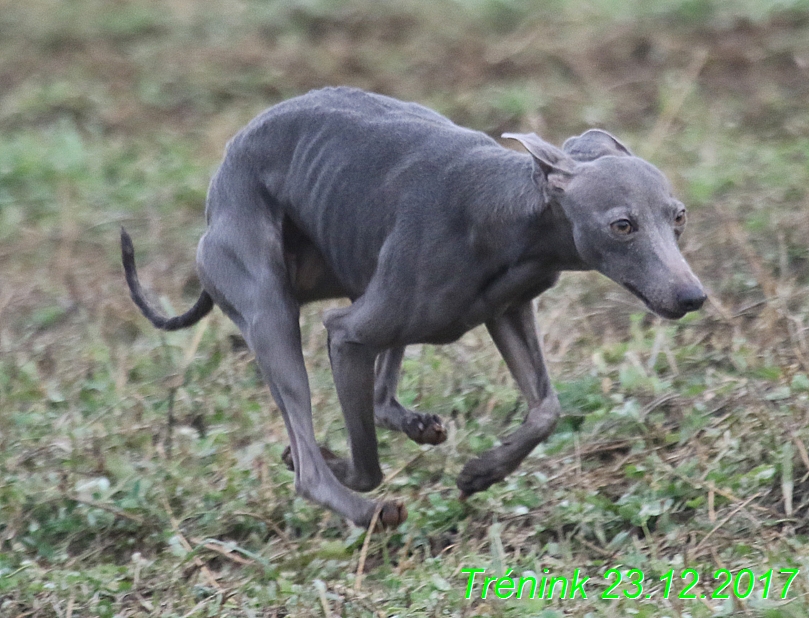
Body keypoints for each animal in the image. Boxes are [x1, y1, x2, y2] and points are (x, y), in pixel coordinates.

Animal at [121, 86, 708, 528]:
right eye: (622, 225)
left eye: (678, 216)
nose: (693, 297)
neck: (511, 214)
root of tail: (222, 176)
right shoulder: (346, 334)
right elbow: (366, 465)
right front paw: (355, 476)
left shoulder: (508, 310)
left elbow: (546, 409)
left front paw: (483, 471)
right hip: (271, 312)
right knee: (309, 464)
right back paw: (354, 499)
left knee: (382, 390)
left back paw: (410, 424)